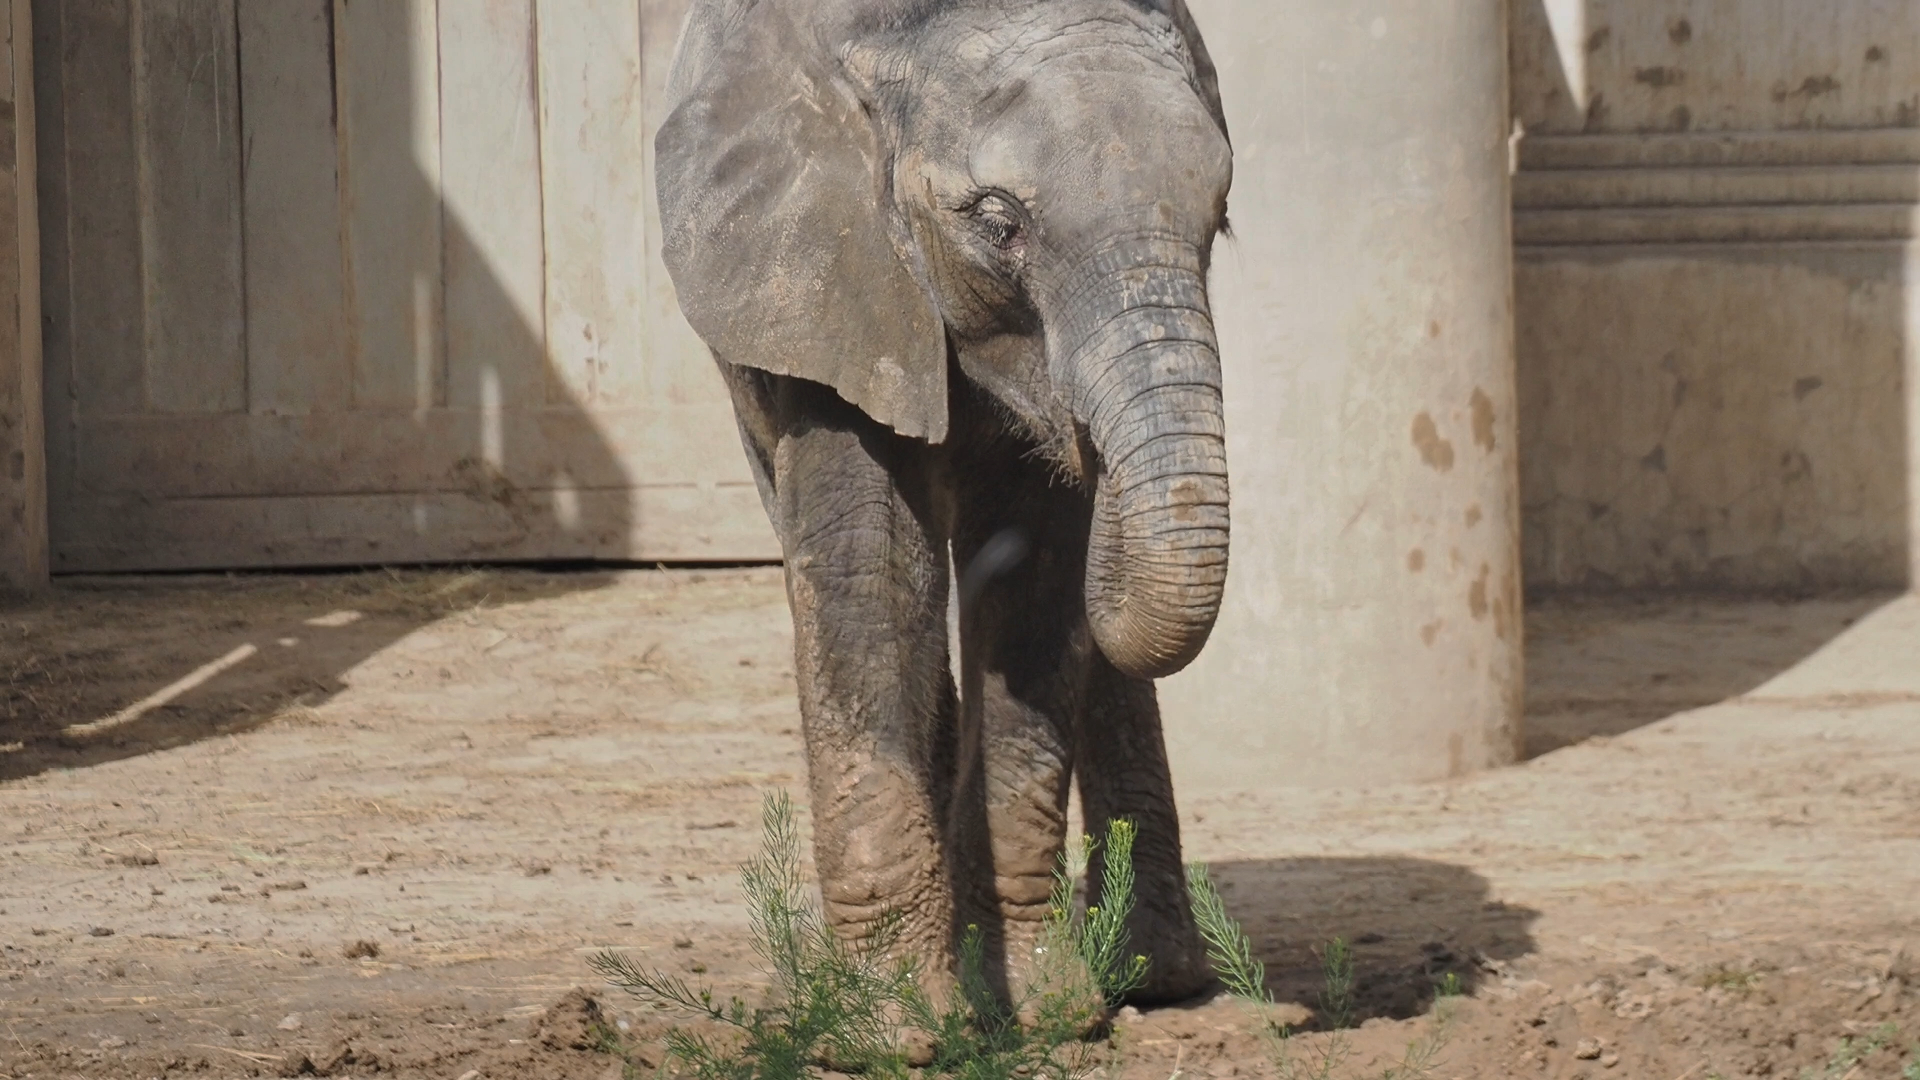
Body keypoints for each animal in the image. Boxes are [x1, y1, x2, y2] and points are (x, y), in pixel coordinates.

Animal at [656, 0, 1233, 1005]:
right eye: (1000, 224)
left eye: (1222, 218)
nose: (1092, 445)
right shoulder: (826, 276)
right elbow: (873, 570)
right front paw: (888, 1018)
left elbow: (1040, 585)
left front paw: (1041, 1006)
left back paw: (1154, 979)